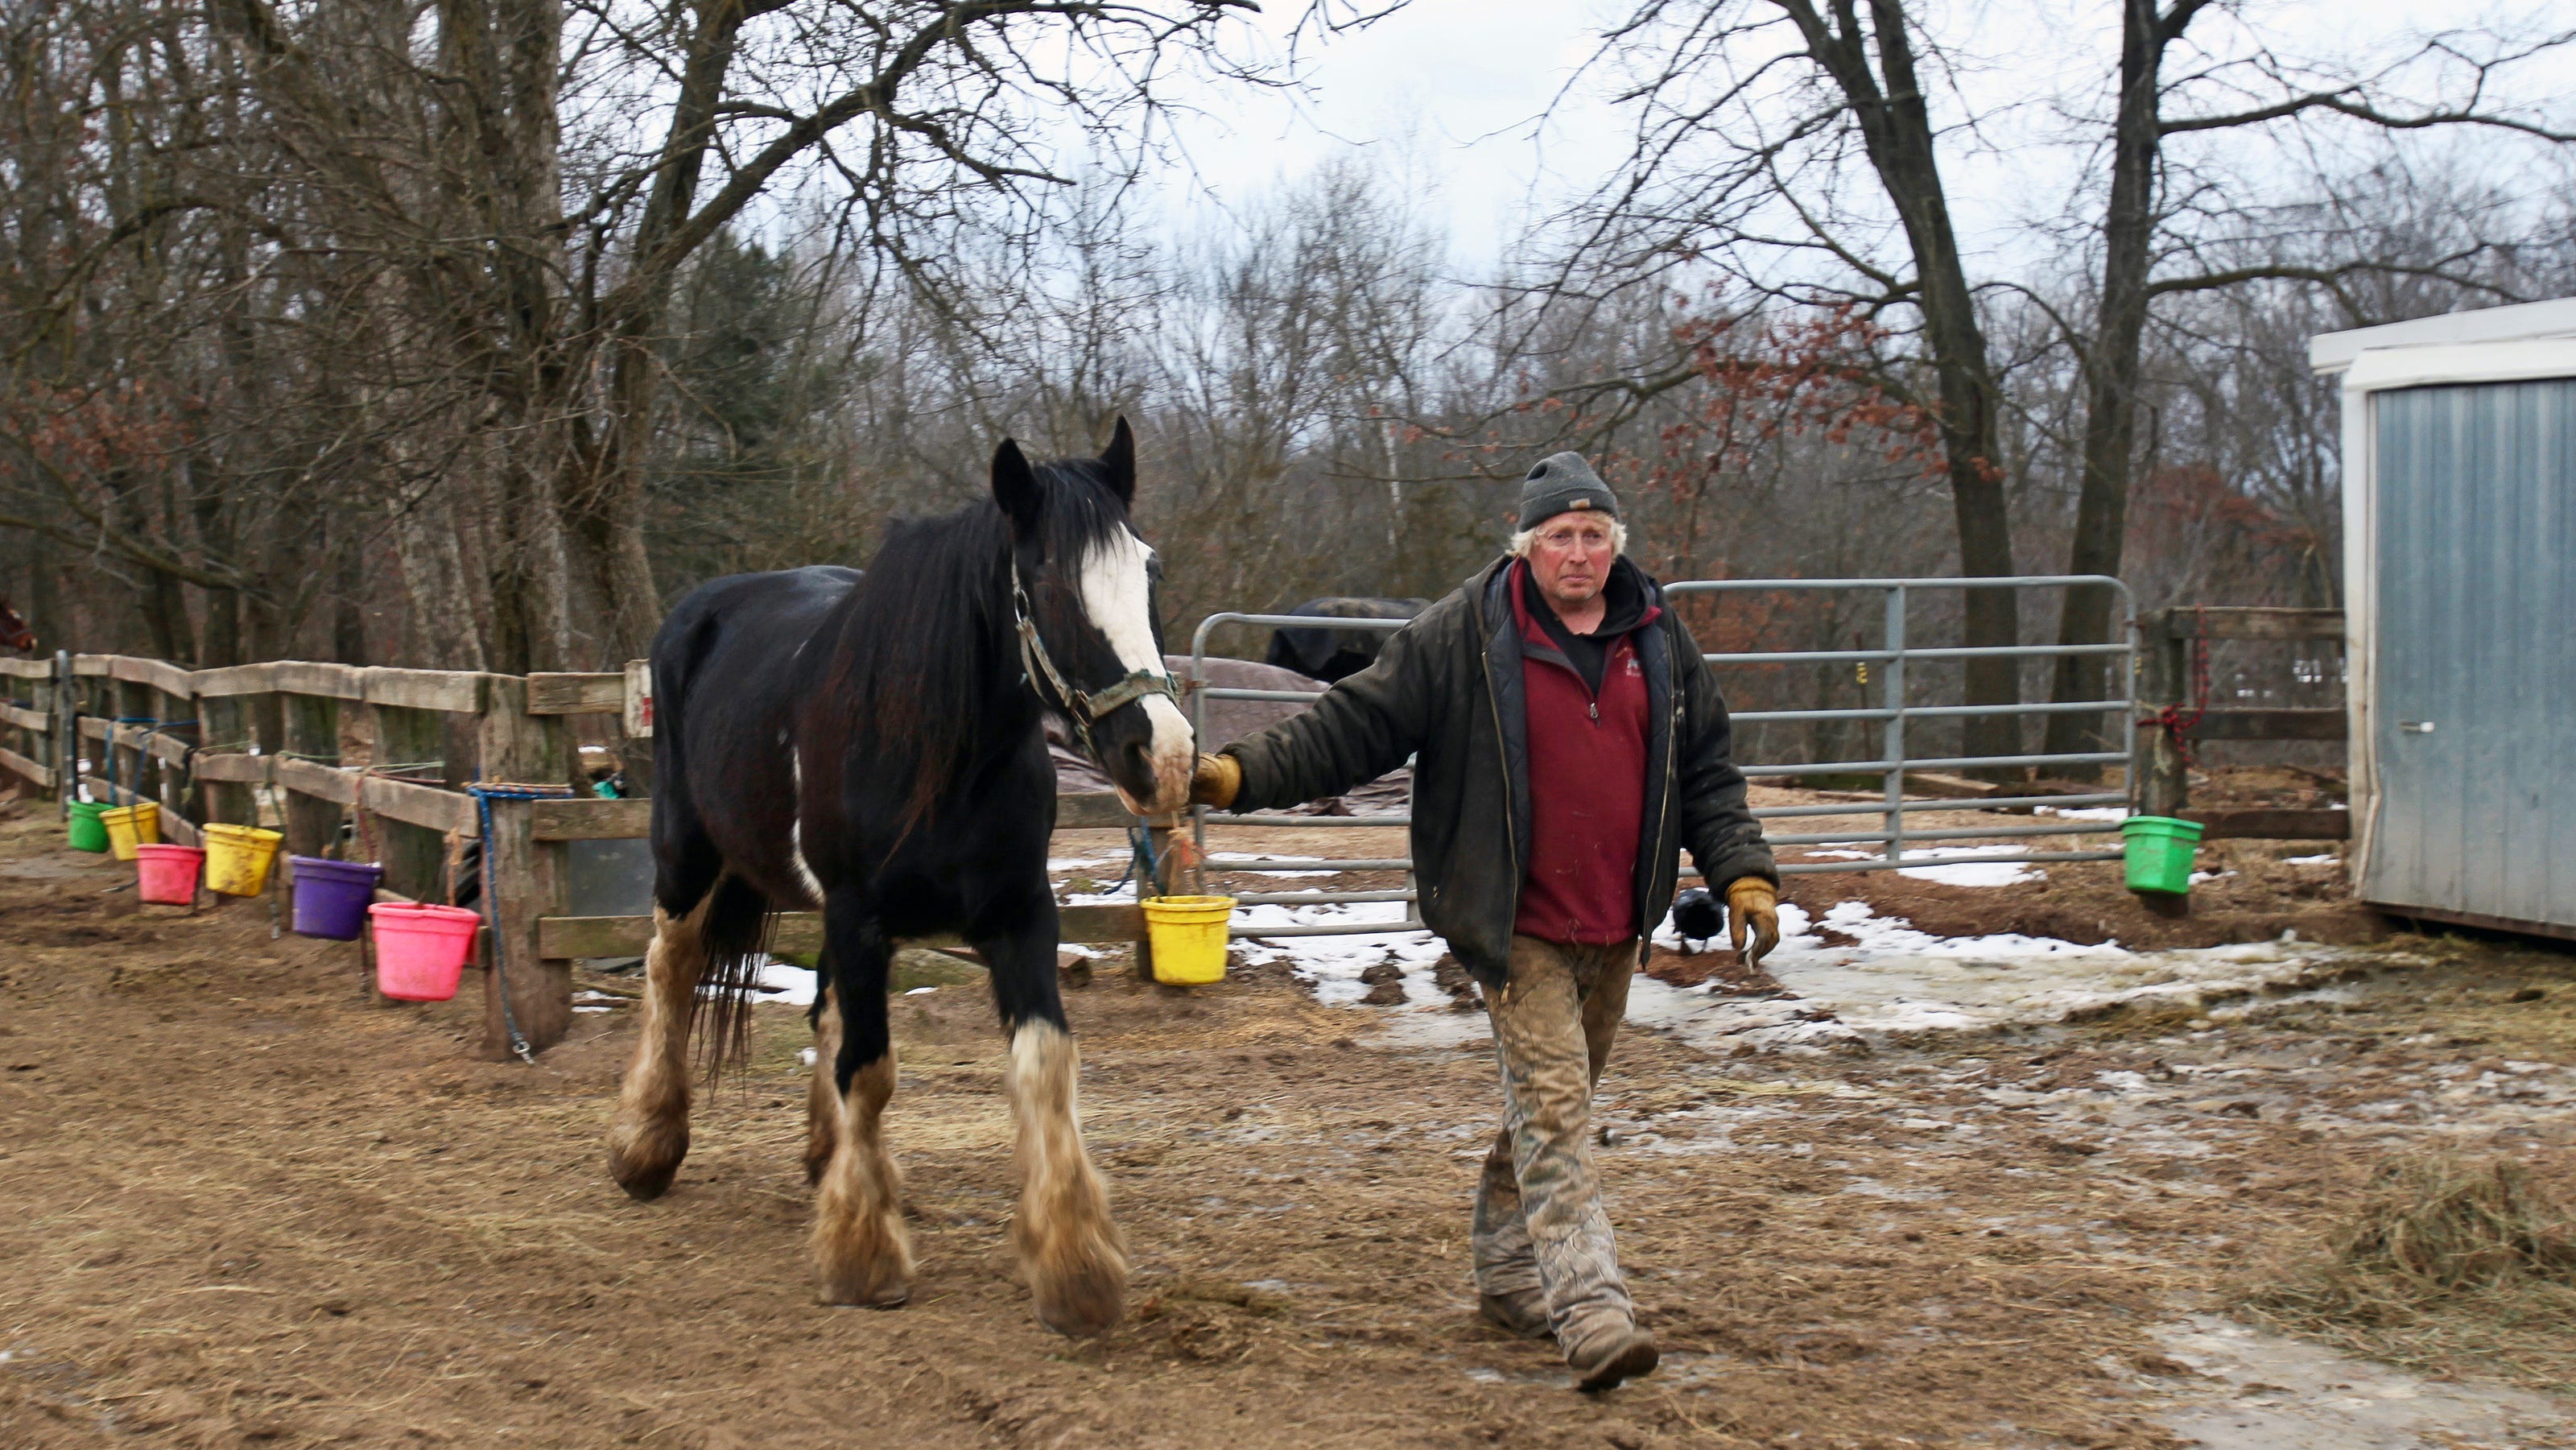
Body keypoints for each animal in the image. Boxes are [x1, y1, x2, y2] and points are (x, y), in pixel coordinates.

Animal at [605, 420, 1193, 1336]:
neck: (938, 752)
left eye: (1148, 571)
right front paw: (862, 1255)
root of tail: (697, 615)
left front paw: (1076, 1267)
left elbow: (1042, 1063)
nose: (1161, 758)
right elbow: (871, 1068)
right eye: (1049, 582)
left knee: (823, 1011)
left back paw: (833, 1161)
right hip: (686, 854)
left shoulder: (1021, 914)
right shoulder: (860, 915)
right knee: (672, 972)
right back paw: (648, 1146)